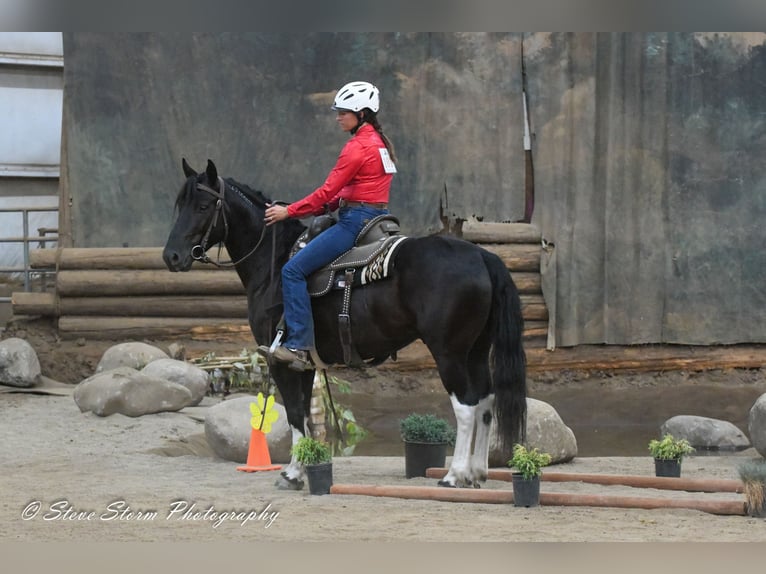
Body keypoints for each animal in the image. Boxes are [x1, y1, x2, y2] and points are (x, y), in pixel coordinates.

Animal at [164, 159, 528, 490]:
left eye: (202, 206)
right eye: (179, 204)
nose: (171, 256)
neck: (274, 263)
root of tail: (482, 256)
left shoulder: (280, 360)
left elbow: (294, 414)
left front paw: (292, 474)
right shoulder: (303, 363)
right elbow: (305, 416)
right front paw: (303, 467)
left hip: (449, 353)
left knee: (466, 407)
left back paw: (454, 475)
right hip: (476, 350)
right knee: (486, 402)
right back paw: (476, 472)